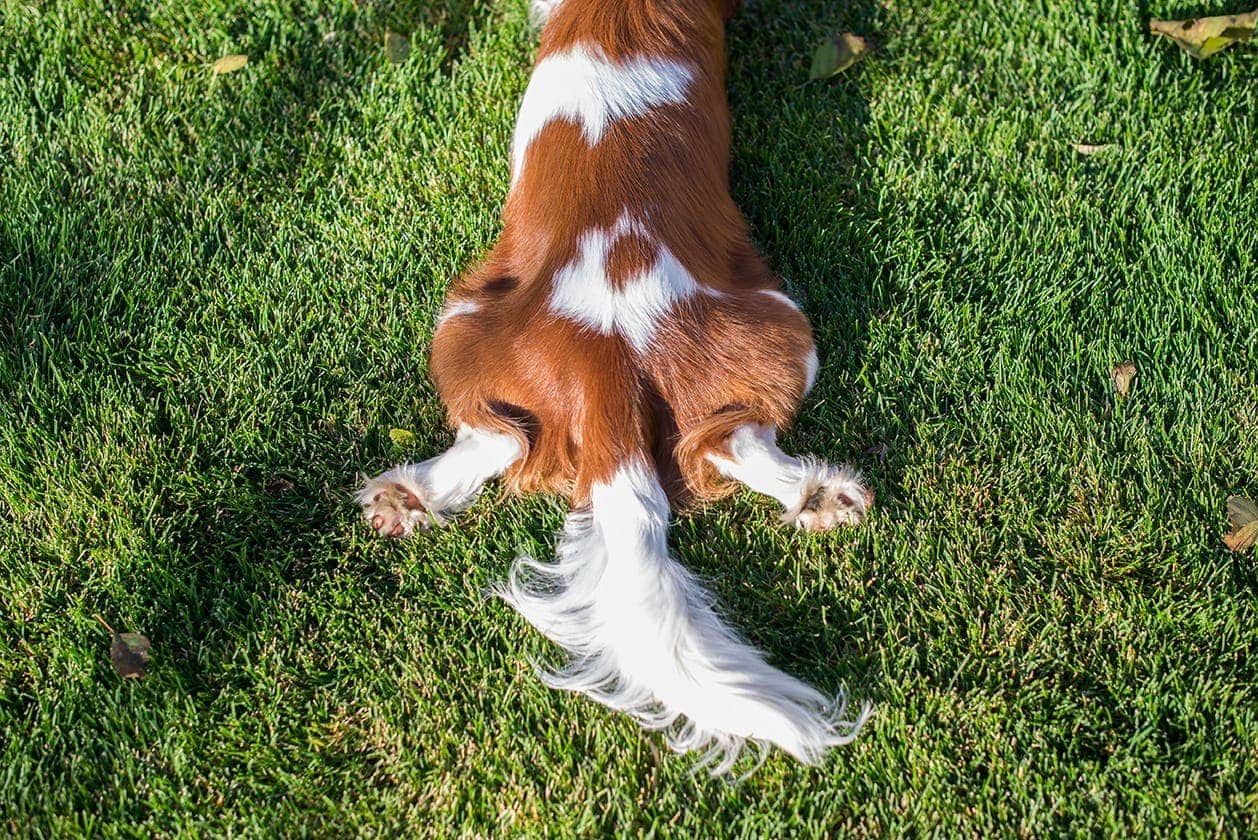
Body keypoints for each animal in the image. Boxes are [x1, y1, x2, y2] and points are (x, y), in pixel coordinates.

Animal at [362, 0, 875, 774]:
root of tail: (606, 356)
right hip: (773, 327)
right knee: (710, 441)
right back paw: (819, 496)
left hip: (461, 323)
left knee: (509, 439)